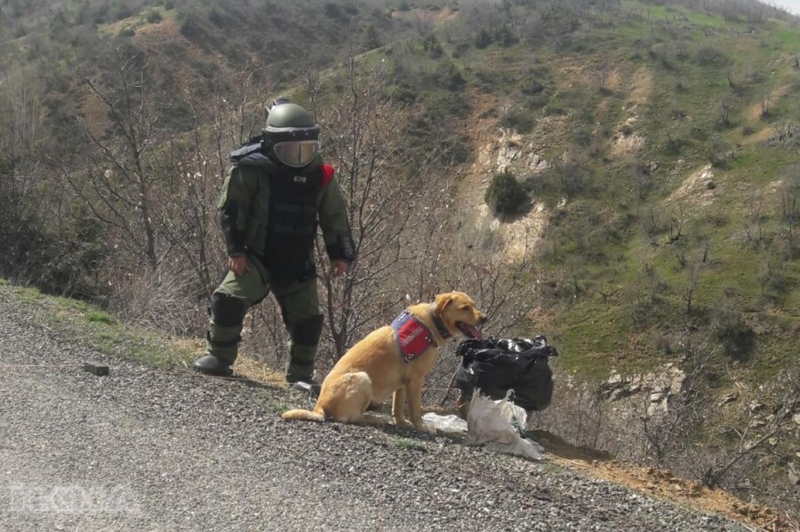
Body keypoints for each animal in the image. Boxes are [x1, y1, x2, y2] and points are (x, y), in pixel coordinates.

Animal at [282, 294, 488, 430]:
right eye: (465, 308)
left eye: (473, 305)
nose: (484, 318)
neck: (433, 320)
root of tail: (318, 406)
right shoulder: (416, 380)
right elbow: (416, 409)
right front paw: (421, 427)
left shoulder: (403, 382)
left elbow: (398, 407)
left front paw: (402, 423)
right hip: (362, 379)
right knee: (351, 418)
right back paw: (374, 419)